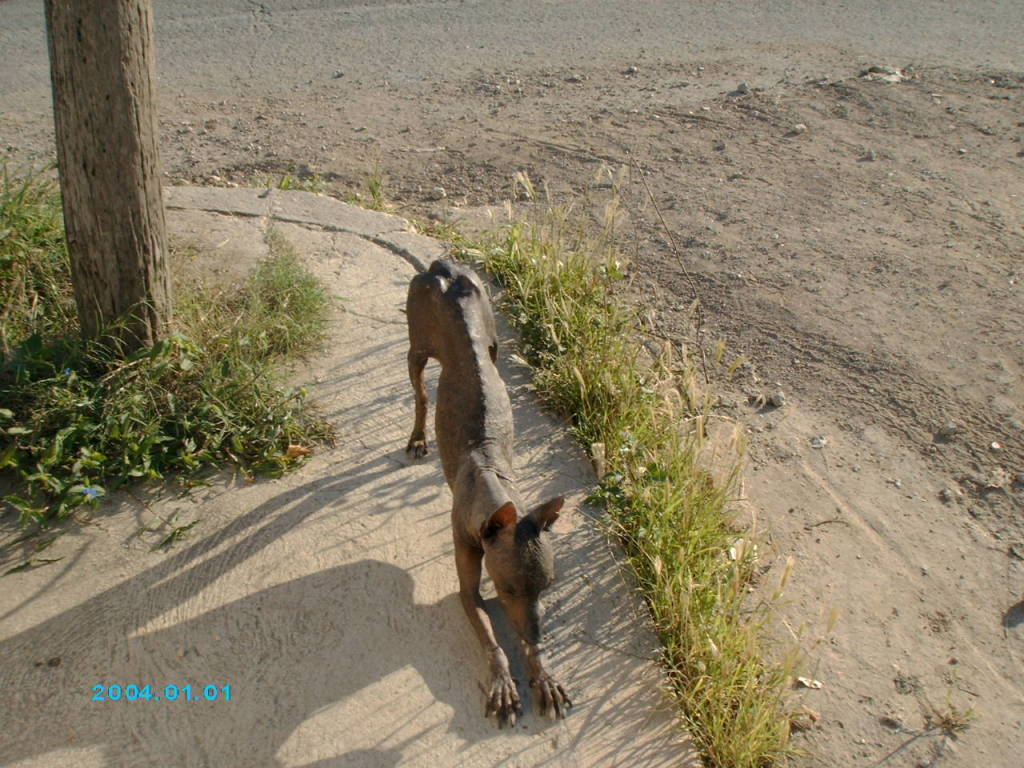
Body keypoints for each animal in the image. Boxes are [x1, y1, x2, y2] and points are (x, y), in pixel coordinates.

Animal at [403, 260, 573, 729]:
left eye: (548, 586)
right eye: (506, 589)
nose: (536, 635)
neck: (488, 479)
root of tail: (441, 268)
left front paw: (542, 673)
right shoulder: (468, 589)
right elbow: (490, 638)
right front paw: (502, 681)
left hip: (493, 345)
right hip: (416, 346)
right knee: (421, 395)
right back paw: (418, 437)